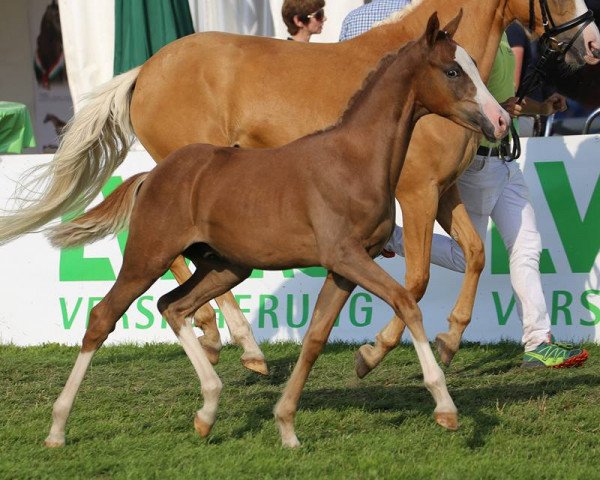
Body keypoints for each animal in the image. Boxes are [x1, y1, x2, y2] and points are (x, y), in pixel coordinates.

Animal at [1, 0, 600, 372]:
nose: (592, 43)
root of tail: (144, 70)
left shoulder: (446, 192)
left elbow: (474, 255)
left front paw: (450, 341)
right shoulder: (418, 192)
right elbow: (418, 279)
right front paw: (375, 353)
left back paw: (221, 339)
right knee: (172, 258)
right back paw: (231, 342)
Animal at [44, 15, 508, 450]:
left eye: (473, 65)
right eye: (452, 70)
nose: (501, 120)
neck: (355, 158)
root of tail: (152, 175)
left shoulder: (345, 269)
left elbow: (315, 339)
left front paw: (286, 425)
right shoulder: (347, 256)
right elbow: (407, 302)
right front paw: (444, 406)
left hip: (225, 267)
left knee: (172, 307)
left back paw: (208, 408)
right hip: (148, 255)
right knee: (104, 316)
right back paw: (58, 427)